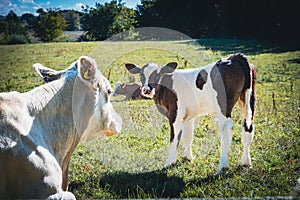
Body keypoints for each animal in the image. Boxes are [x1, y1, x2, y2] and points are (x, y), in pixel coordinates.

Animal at [125, 53, 256, 173]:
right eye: (141, 75)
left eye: (157, 75)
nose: (146, 90)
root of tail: (234, 58)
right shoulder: (188, 116)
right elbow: (188, 136)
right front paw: (188, 158)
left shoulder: (175, 114)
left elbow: (174, 138)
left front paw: (169, 162)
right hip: (248, 101)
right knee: (248, 128)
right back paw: (246, 162)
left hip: (224, 107)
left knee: (226, 130)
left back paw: (223, 166)